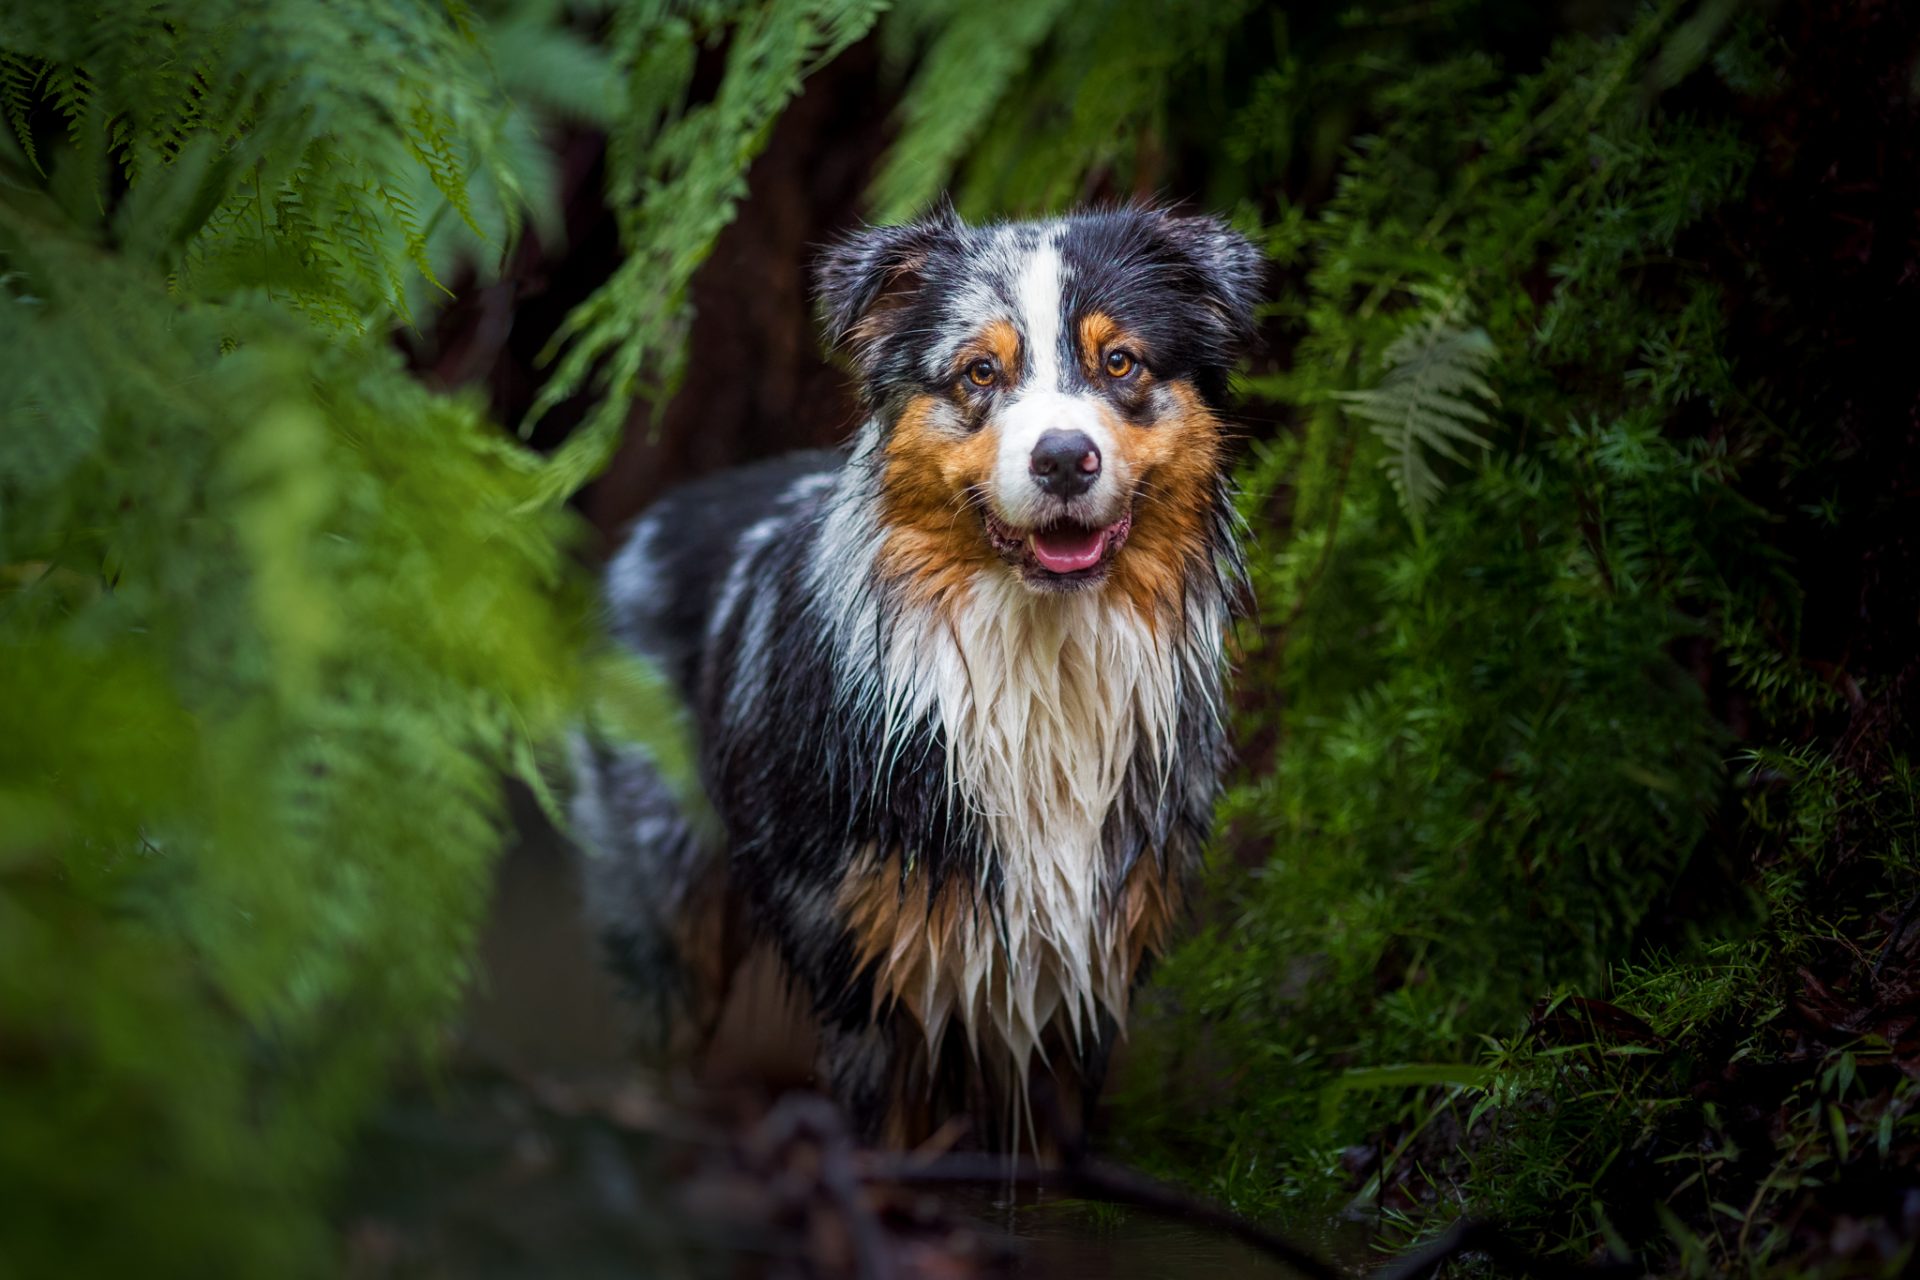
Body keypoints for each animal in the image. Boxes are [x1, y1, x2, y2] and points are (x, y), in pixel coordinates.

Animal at [568, 202, 1259, 1151]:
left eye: (1120, 361)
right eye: (980, 371)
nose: (1064, 459)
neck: (1042, 664)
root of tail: (660, 513)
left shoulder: (1087, 961)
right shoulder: (877, 973)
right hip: (665, 906)